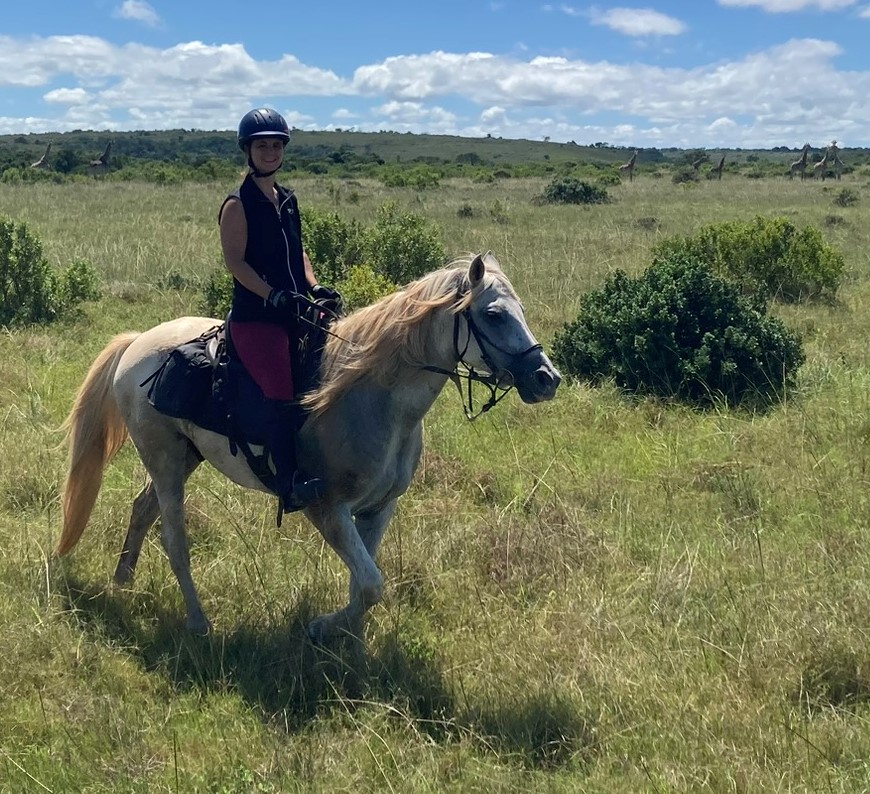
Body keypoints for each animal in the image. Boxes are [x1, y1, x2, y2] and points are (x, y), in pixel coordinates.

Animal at [58, 252, 561, 644]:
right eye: (494, 314)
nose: (546, 378)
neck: (374, 396)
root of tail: (137, 344)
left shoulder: (377, 510)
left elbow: (364, 584)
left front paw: (350, 641)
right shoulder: (328, 509)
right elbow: (372, 584)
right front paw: (322, 627)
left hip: (185, 456)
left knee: (143, 509)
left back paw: (123, 581)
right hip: (163, 457)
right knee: (174, 537)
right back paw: (198, 621)